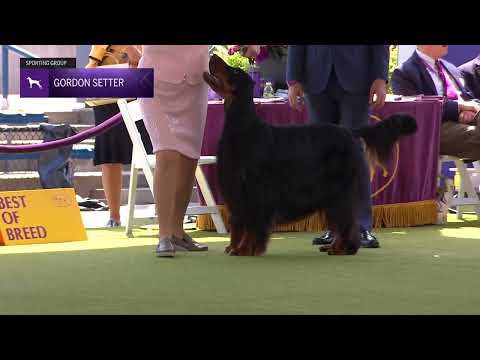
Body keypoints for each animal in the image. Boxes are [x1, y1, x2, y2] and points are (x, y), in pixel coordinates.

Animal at [202, 54, 416, 256]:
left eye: (234, 72)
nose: (213, 57)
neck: (242, 127)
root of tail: (349, 131)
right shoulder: (235, 191)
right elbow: (238, 224)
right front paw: (234, 247)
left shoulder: (255, 190)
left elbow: (252, 225)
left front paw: (246, 249)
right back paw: (334, 246)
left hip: (338, 190)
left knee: (346, 221)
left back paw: (342, 248)